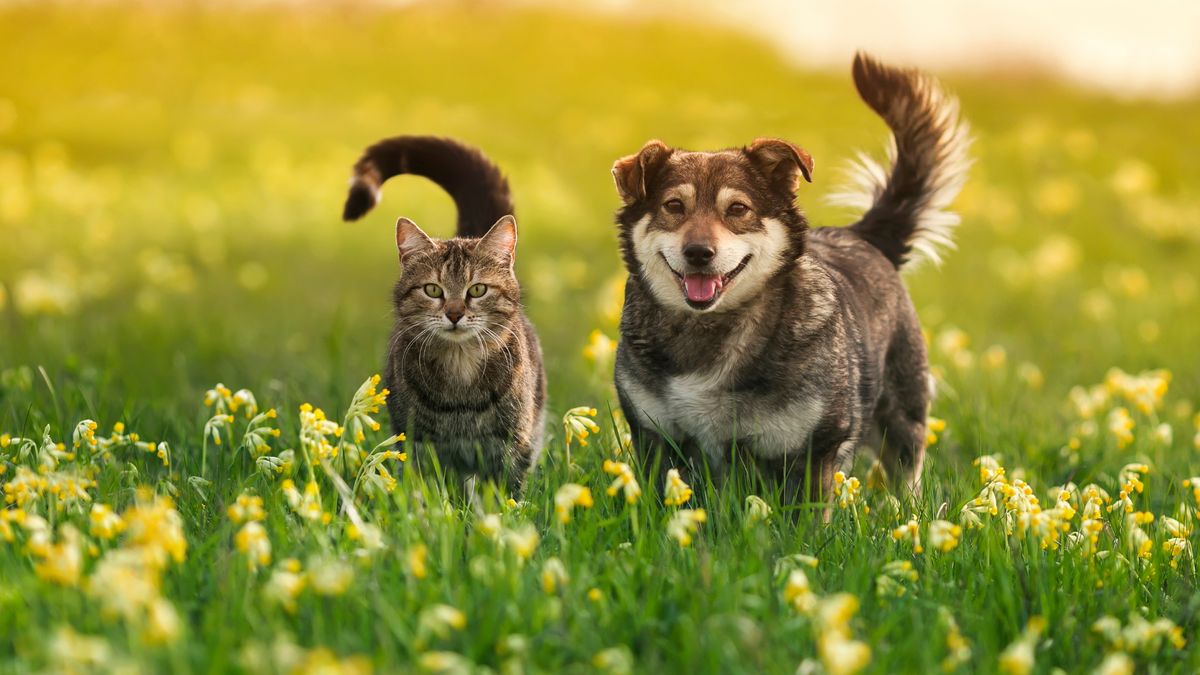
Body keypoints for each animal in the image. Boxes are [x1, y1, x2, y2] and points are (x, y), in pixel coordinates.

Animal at [345, 138, 547, 494]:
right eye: (433, 290)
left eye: (477, 290)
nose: (454, 314)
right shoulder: (418, 444)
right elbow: (426, 493)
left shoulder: (514, 444)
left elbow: (507, 495)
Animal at [614, 53, 969, 499]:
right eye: (674, 206)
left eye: (738, 209)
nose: (698, 253)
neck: (709, 329)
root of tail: (861, 234)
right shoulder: (655, 438)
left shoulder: (812, 451)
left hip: (902, 417)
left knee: (907, 474)